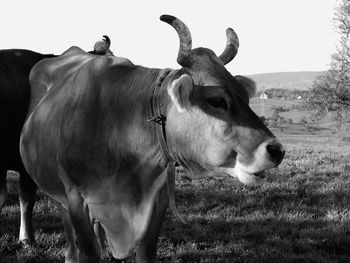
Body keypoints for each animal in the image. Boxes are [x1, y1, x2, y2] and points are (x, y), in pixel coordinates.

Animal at [19, 15, 284, 262]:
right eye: (217, 100)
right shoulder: (75, 197)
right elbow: (87, 252)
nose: (276, 150)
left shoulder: (159, 197)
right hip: (56, 192)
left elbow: (146, 252)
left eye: (245, 97)